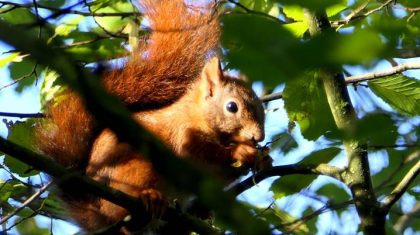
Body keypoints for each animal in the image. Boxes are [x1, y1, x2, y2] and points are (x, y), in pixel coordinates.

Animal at [36, 0, 266, 233]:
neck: (197, 116)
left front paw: (264, 160)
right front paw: (241, 152)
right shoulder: (183, 133)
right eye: (231, 107)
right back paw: (148, 200)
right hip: (135, 168)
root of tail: (98, 216)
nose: (258, 137)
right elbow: (197, 156)